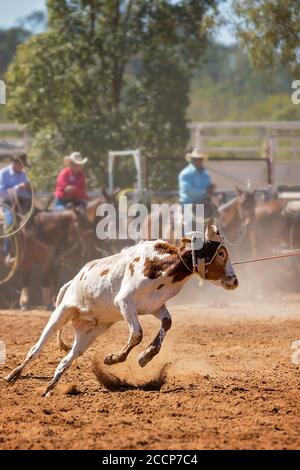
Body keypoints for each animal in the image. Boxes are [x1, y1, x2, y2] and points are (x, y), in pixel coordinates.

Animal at [4, 222, 238, 394]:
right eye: (221, 253)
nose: (234, 281)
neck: (165, 266)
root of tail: (72, 281)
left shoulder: (156, 306)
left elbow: (166, 323)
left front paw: (145, 356)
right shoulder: (125, 303)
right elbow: (137, 334)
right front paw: (113, 358)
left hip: (89, 333)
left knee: (66, 360)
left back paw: (50, 388)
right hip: (62, 312)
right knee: (36, 348)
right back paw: (13, 376)